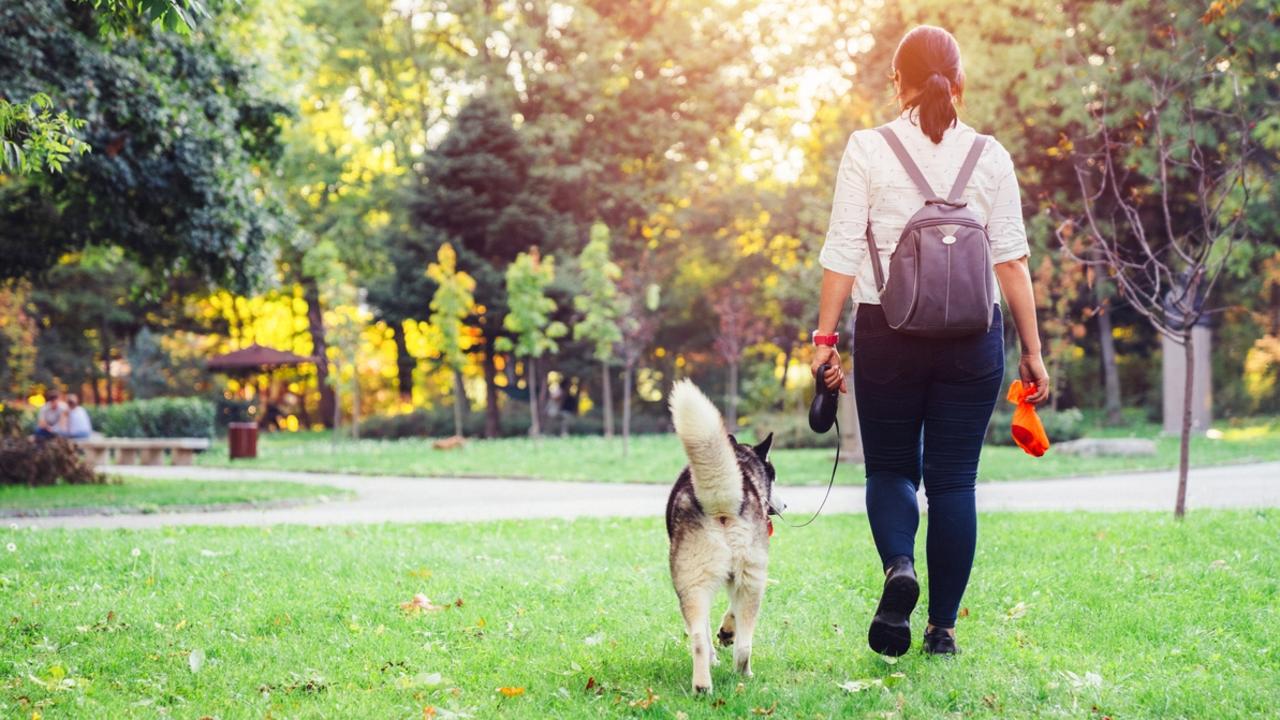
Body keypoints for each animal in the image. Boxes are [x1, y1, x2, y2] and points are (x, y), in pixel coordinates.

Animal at [665, 379, 783, 691]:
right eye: (775, 478)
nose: (785, 505)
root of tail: (721, 503)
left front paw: (724, 636)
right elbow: (729, 612)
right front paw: (726, 633)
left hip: (694, 583)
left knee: (701, 639)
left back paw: (706, 684)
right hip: (745, 579)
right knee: (741, 644)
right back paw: (739, 675)